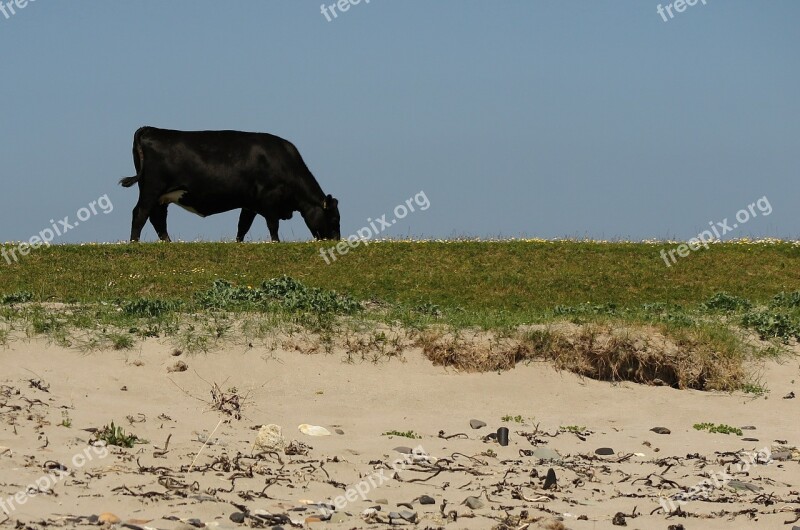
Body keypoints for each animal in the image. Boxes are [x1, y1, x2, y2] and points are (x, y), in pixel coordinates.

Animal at [119, 127, 340, 242]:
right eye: (334, 218)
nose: (336, 240)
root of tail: (151, 129)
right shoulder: (269, 199)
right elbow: (273, 225)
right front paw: (276, 243)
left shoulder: (250, 203)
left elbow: (243, 226)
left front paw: (238, 243)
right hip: (151, 188)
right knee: (140, 213)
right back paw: (134, 242)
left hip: (162, 195)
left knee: (157, 218)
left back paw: (169, 243)